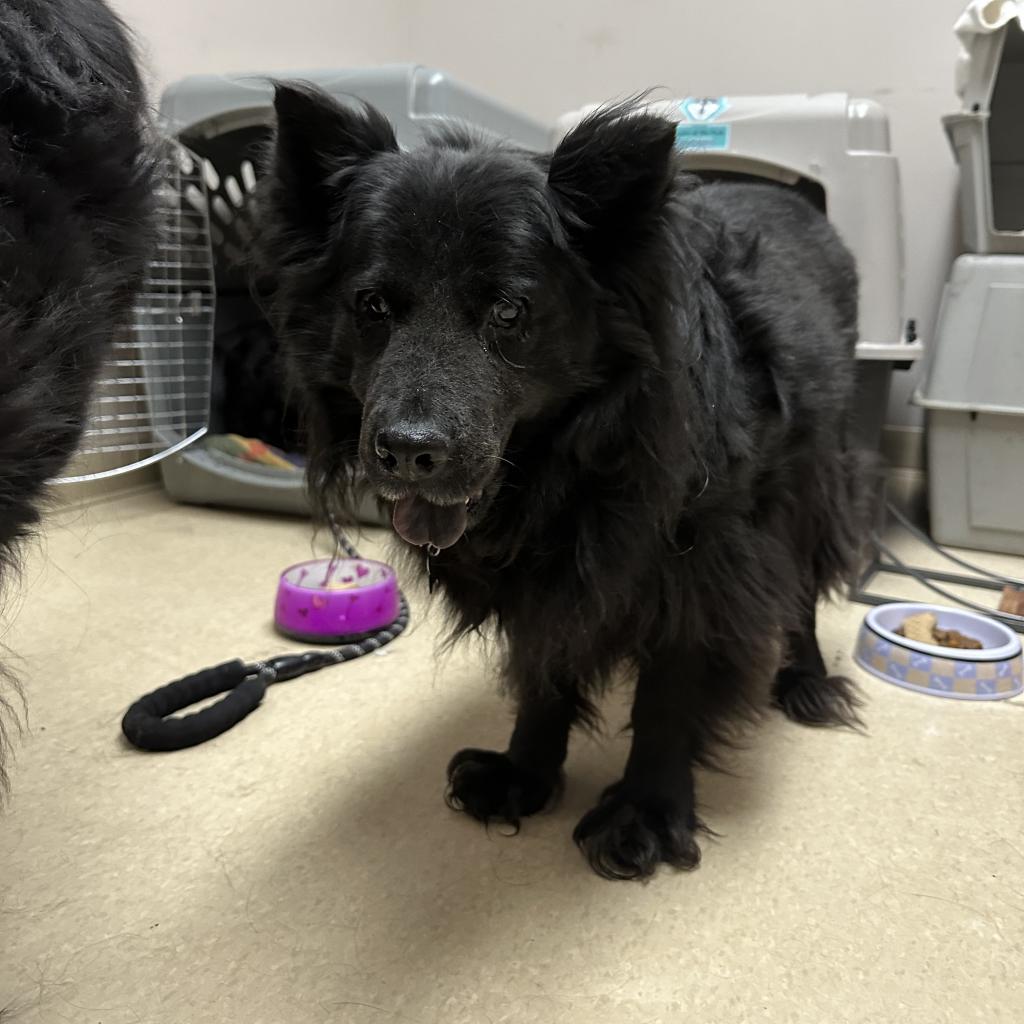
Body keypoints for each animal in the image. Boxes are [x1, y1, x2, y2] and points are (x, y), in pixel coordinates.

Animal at [262, 83, 872, 880]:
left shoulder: (704, 568)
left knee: (799, 593)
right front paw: (524, 772)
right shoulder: (542, 582)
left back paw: (805, 680)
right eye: (371, 306)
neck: (569, 466)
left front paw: (645, 810)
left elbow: (669, 695)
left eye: (508, 310)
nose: (406, 452)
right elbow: (543, 672)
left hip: (810, 483)